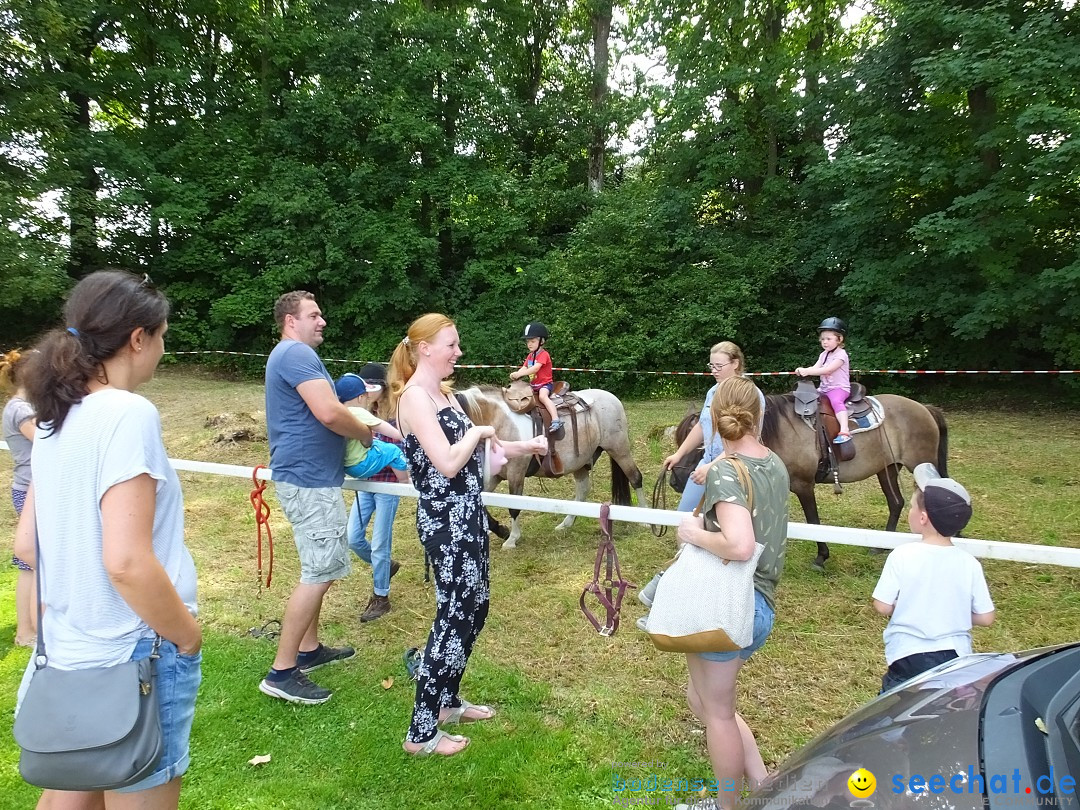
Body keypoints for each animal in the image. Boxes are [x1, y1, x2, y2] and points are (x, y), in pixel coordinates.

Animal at [451, 382, 643, 552]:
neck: (500, 420)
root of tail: (613, 398)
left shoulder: (516, 474)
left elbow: (514, 507)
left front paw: (512, 539)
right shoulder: (494, 476)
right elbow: (481, 503)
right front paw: (502, 531)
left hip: (619, 450)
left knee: (635, 478)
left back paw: (644, 520)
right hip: (581, 462)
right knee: (582, 491)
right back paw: (566, 524)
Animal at [760, 393, 946, 570]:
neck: (782, 430)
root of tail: (925, 408)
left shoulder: (803, 485)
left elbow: (813, 521)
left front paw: (821, 557)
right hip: (888, 470)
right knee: (896, 503)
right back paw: (881, 547)